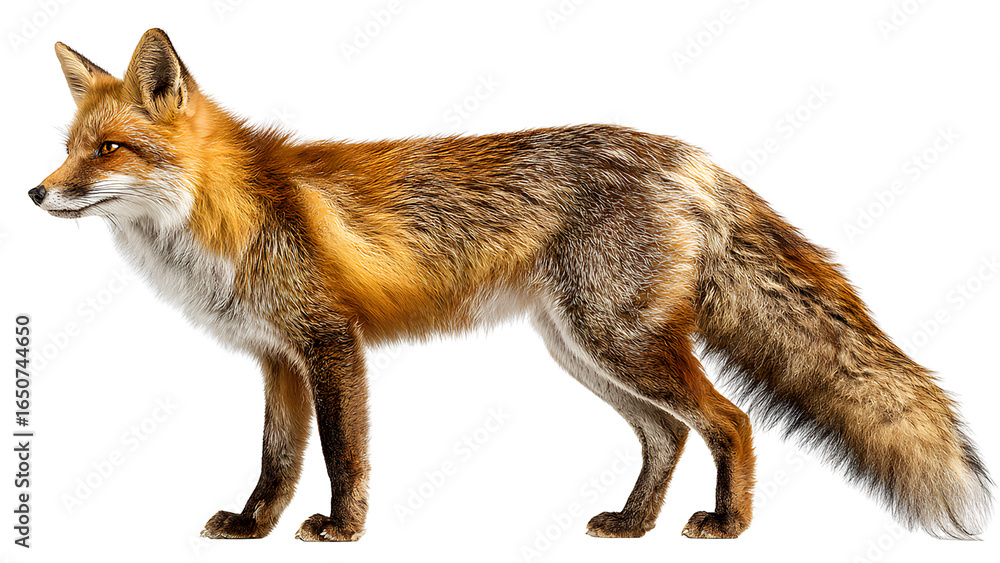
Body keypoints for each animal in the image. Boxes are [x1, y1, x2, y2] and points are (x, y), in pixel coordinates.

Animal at [31, 28, 992, 542]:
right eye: (72, 147)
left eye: (108, 150)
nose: (36, 194)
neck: (225, 215)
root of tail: (690, 157)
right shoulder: (277, 358)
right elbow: (277, 459)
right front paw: (252, 526)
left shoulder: (330, 342)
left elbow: (341, 455)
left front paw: (343, 529)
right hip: (582, 349)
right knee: (668, 435)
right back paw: (632, 523)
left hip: (617, 341)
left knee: (730, 421)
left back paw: (727, 526)